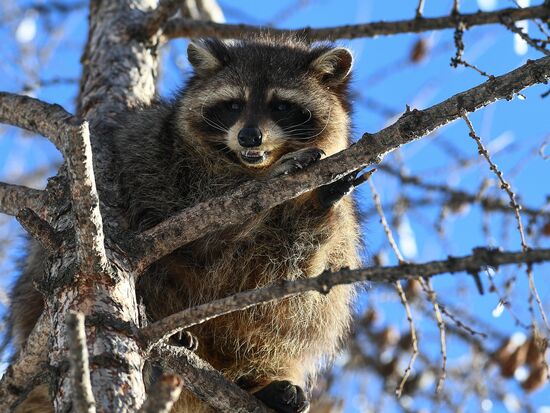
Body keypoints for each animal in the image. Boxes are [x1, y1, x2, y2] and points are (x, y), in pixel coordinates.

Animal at [9, 35, 362, 412]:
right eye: (233, 105)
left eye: (281, 106)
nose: (249, 136)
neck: (247, 164)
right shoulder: (159, 158)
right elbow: (209, 209)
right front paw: (275, 177)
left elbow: (296, 271)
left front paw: (315, 203)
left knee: (292, 319)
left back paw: (260, 381)